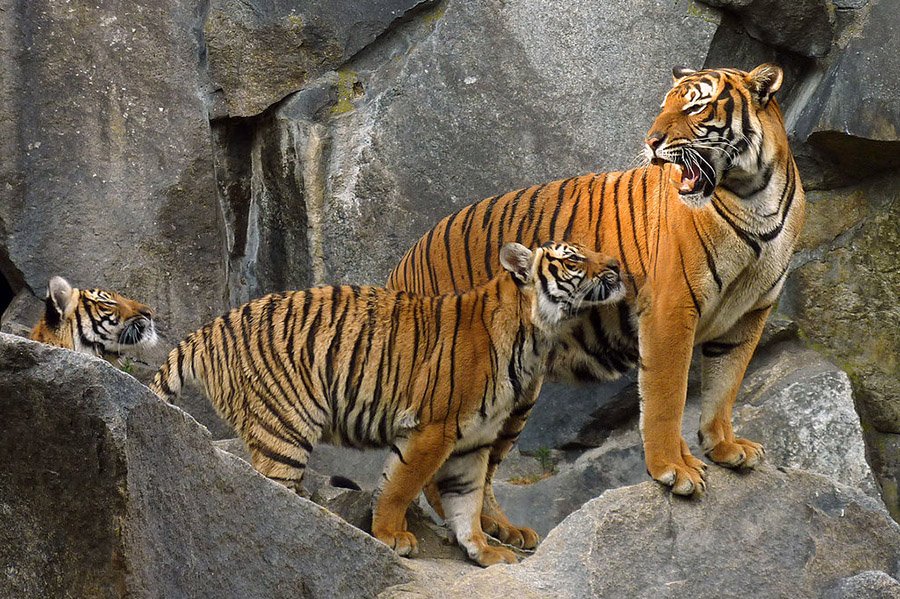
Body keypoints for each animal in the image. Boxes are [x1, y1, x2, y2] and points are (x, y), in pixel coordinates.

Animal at [150, 241, 625, 567]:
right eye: (574, 260)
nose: (617, 266)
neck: (536, 334)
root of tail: (210, 328)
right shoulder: (433, 428)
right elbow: (401, 485)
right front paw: (391, 535)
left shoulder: (474, 441)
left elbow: (467, 501)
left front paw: (483, 550)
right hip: (284, 425)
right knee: (270, 496)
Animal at [387, 64, 805, 547]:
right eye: (665, 105)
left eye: (695, 107)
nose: (651, 141)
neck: (754, 194)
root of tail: (401, 267)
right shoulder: (671, 309)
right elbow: (667, 397)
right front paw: (674, 469)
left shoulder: (749, 315)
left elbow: (725, 386)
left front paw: (724, 448)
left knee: (476, 466)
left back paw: (502, 529)